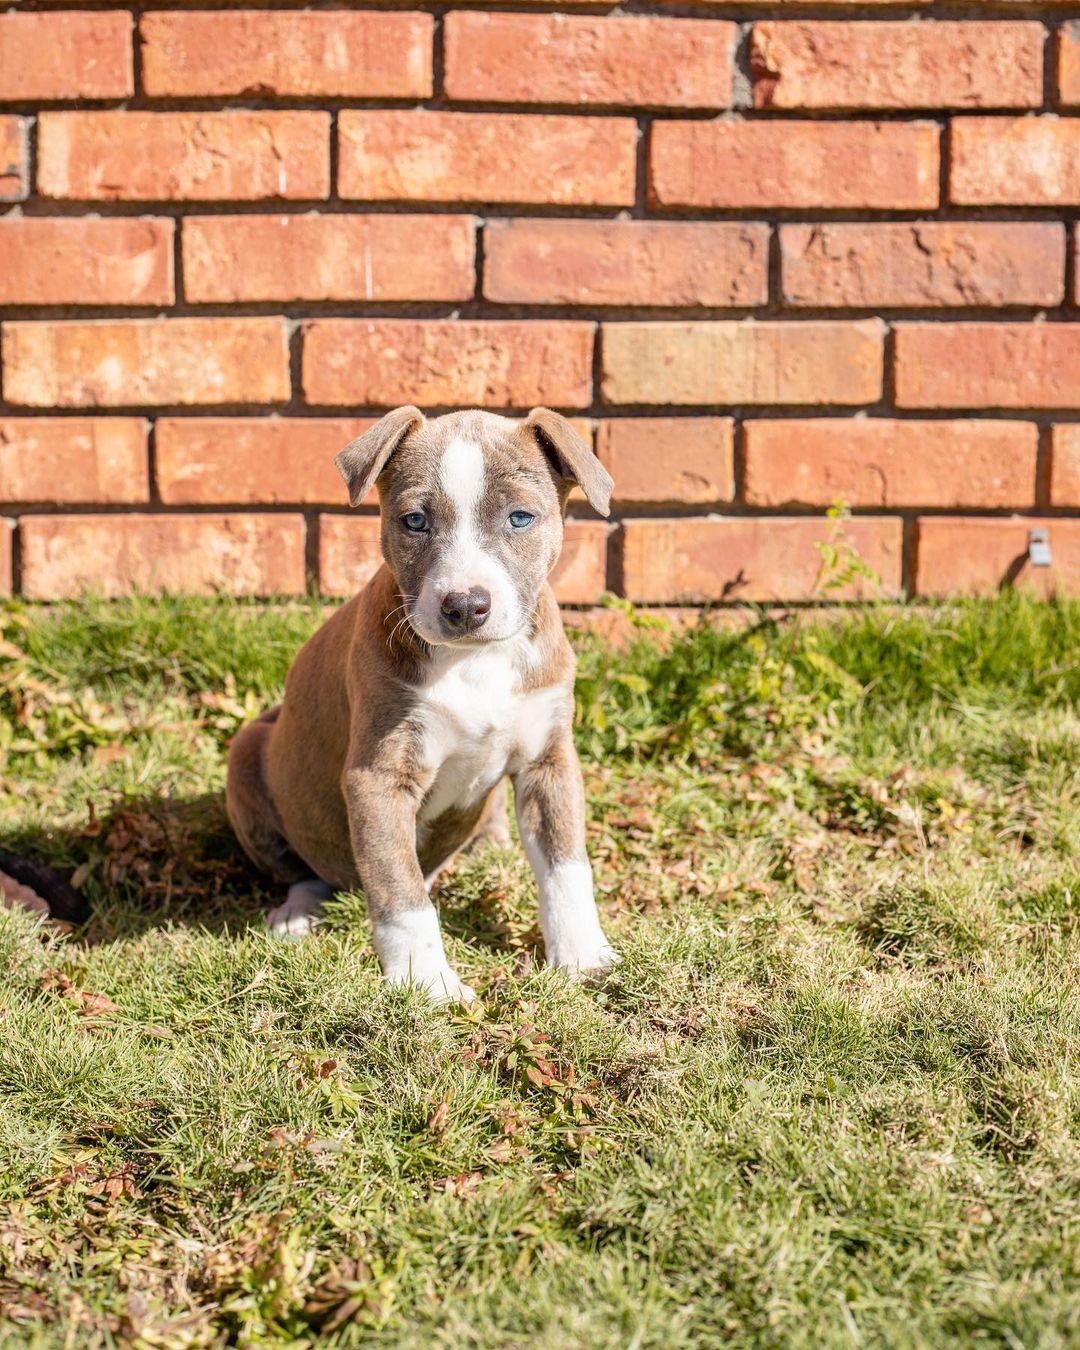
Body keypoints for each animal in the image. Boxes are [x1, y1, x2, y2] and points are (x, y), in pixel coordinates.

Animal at [225, 410, 615, 1004]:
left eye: (520, 518)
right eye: (414, 521)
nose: (466, 606)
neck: (474, 661)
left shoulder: (549, 761)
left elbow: (566, 867)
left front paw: (583, 956)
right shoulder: (379, 775)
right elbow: (398, 889)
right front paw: (425, 981)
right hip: (248, 753)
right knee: (309, 869)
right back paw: (296, 914)